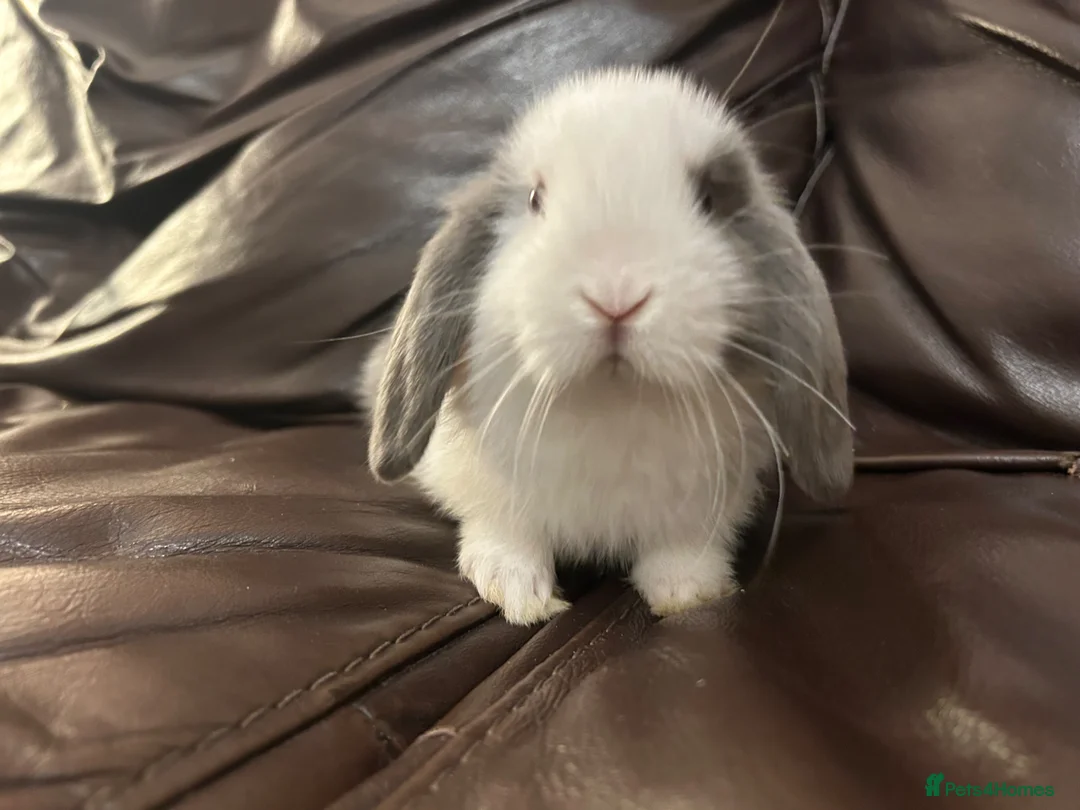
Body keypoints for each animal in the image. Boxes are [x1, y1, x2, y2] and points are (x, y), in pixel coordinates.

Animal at [359, 65, 853, 626]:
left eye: (708, 199)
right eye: (535, 199)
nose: (616, 299)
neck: (611, 400)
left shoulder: (700, 507)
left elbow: (681, 552)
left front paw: (690, 594)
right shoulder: (487, 488)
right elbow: (505, 531)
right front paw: (519, 594)